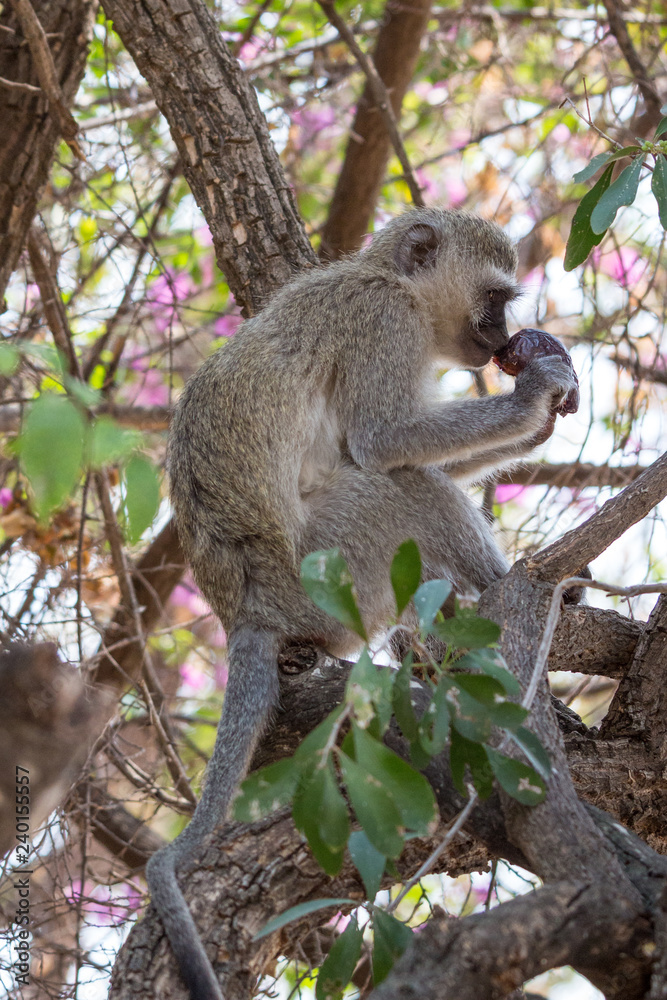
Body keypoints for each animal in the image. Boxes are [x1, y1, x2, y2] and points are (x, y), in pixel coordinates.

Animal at [146, 208, 577, 1000]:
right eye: (495, 296)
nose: (503, 338)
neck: (386, 276)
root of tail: (250, 612)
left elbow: (386, 448)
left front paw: (538, 418)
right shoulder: (386, 323)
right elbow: (382, 443)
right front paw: (533, 395)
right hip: (335, 569)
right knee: (397, 485)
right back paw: (509, 596)